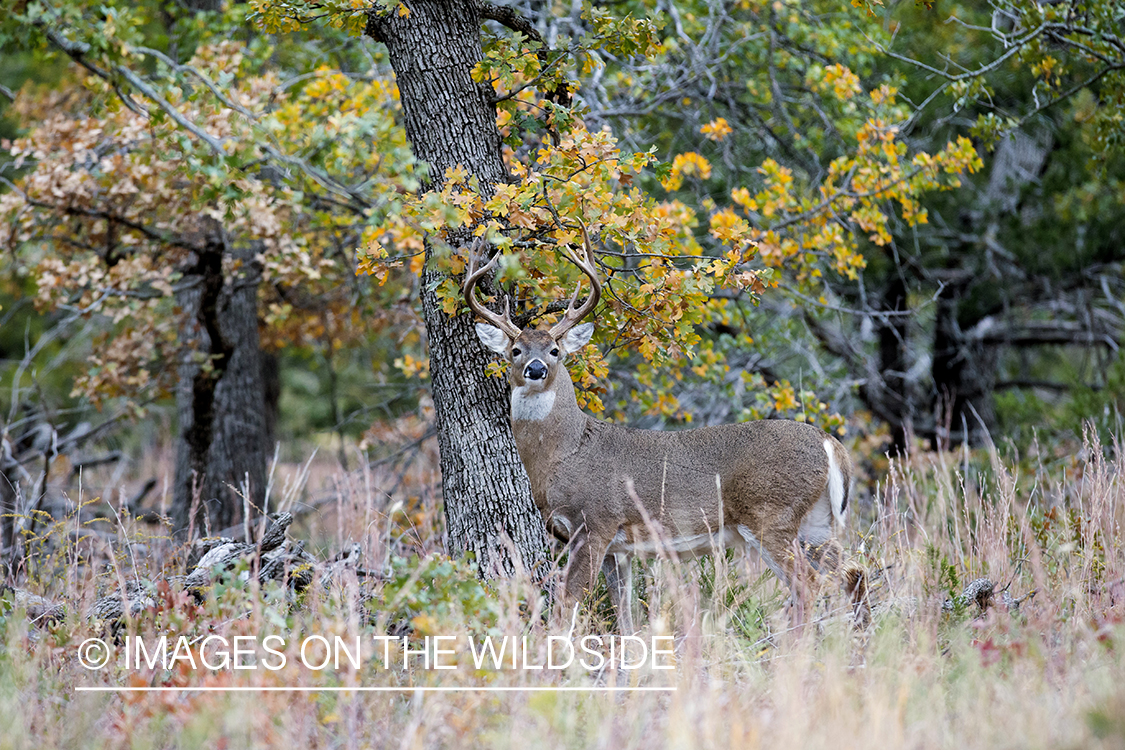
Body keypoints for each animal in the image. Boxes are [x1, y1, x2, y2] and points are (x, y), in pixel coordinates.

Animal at [461, 221, 846, 634]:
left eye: (555, 351)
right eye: (515, 350)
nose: (536, 369)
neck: (563, 454)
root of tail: (829, 443)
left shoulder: (594, 523)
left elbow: (568, 604)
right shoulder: (618, 547)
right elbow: (625, 613)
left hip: (771, 516)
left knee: (808, 584)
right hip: (816, 523)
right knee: (848, 574)